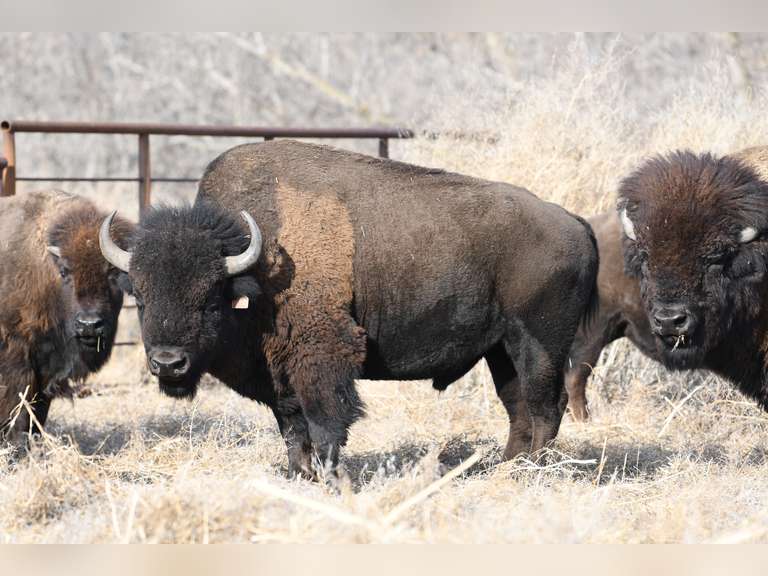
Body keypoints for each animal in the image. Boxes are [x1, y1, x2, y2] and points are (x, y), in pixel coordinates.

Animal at [0, 190, 132, 442]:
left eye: (113, 274)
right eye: (64, 272)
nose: (89, 325)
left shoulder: (47, 366)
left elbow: (37, 411)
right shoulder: (18, 356)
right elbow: (18, 406)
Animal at [100, 140, 599, 478]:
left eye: (209, 299)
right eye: (140, 296)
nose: (169, 363)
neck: (255, 265)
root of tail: (574, 222)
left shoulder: (322, 359)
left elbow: (326, 423)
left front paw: (330, 477)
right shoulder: (280, 374)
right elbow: (292, 428)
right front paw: (299, 474)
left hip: (539, 343)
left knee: (544, 406)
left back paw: (532, 471)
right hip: (501, 349)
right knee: (518, 405)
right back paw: (506, 467)